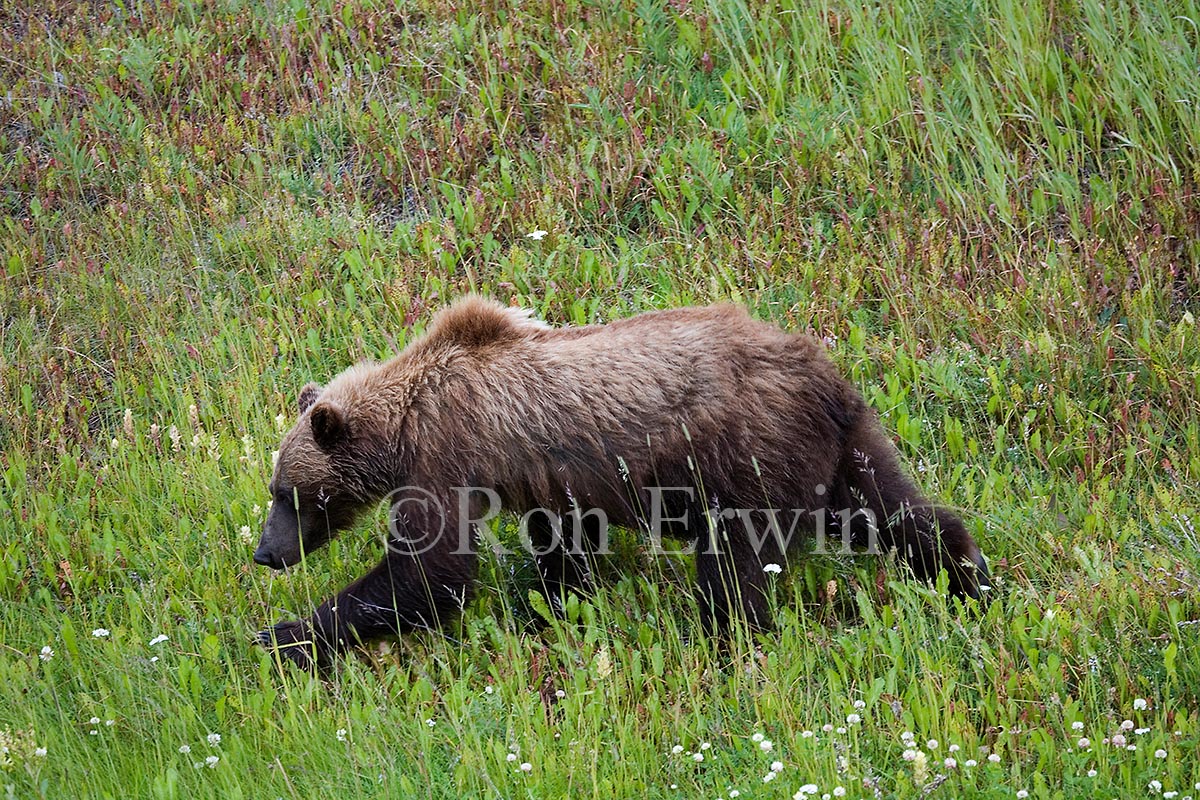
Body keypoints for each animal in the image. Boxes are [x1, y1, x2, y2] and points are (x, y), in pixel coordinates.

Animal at [254, 297, 990, 670]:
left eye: (288, 493)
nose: (264, 552)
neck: (404, 421)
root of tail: (823, 377)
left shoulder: (449, 456)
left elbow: (430, 574)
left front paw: (285, 635)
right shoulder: (546, 478)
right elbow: (563, 548)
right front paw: (551, 608)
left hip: (747, 459)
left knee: (733, 570)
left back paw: (724, 644)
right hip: (837, 451)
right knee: (893, 511)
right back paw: (971, 578)